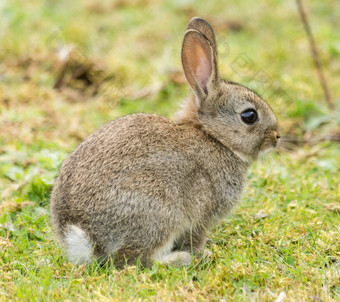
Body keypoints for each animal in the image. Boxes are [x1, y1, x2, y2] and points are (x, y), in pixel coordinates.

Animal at [49, 17, 278, 266]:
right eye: (249, 116)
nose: (277, 137)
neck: (214, 137)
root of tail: (86, 238)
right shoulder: (201, 215)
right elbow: (196, 236)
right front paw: (202, 253)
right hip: (160, 211)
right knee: (135, 258)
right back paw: (181, 259)